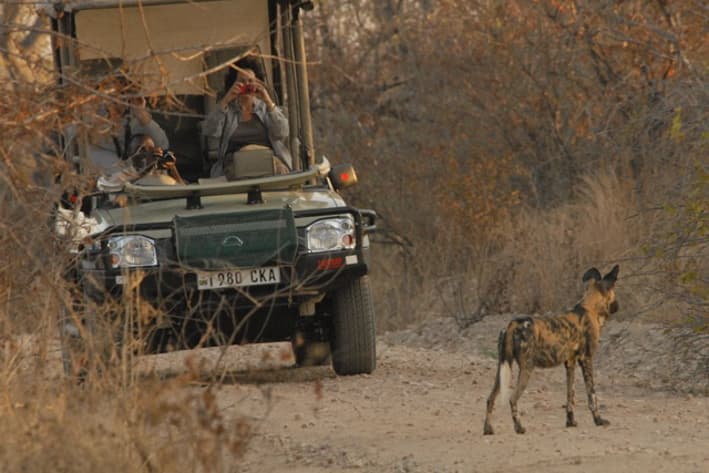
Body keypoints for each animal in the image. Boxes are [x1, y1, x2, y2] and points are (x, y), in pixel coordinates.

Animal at [484, 264, 616, 434]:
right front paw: (598, 420)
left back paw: (488, 429)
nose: (618, 307)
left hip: (502, 369)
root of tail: (513, 323)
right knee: (512, 399)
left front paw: (571, 422)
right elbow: (592, 396)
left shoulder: (570, 363)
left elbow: (570, 396)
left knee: (490, 398)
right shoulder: (586, 360)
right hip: (526, 369)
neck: (590, 308)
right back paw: (519, 427)